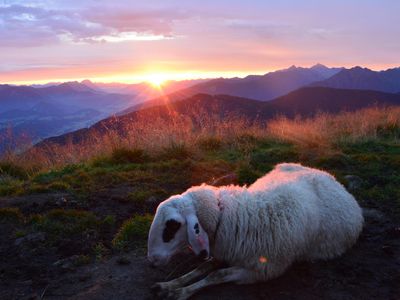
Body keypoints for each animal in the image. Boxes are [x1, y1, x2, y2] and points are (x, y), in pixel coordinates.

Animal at [146, 163, 362, 298]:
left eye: (172, 226)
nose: (152, 261)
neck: (237, 216)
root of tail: (329, 176)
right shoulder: (225, 250)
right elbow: (202, 268)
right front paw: (169, 285)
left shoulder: (262, 270)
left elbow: (216, 275)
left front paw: (179, 292)